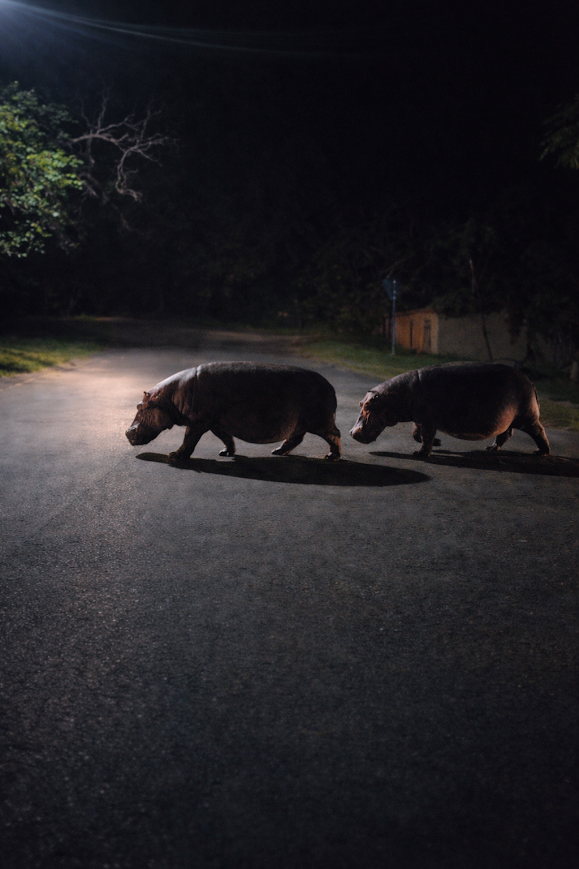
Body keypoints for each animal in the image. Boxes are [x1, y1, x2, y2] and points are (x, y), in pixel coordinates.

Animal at [126, 362, 341, 462]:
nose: (127, 432)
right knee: (296, 437)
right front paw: (225, 453)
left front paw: (173, 456)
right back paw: (277, 452)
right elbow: (226, 437)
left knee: (334, 435)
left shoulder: (198, 423)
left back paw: (331, 457)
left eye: (140, 407)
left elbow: (188, 440)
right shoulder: (214, 422)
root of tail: (331, 385)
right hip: (300, 422)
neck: (169, 397)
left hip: (320, 421)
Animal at [350, 362, 550, 457]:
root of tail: (529, 380)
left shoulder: (428, 420)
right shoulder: (420, 418)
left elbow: (426, 436)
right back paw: (491, 448)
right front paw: (437, 444)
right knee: (506, 434)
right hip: (508, 419)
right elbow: (416, 434)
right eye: (361, 403)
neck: (396, 395)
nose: (351, 432)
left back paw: (541, 452)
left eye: (368, 406)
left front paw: (420, 454)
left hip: (527, 418)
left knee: (539, 431)